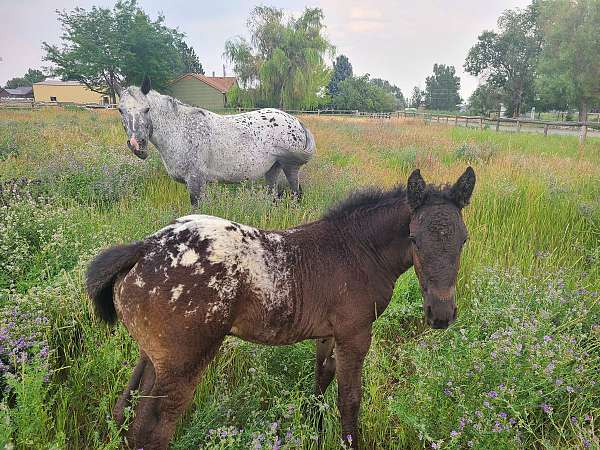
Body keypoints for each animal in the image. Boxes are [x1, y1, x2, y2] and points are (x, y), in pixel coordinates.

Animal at [88, 167, 474, 448]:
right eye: (414, 239)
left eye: (464, 240)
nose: (441, 314)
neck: (357, 249)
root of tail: (143, 248)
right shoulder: (355, 333)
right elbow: (349, 400)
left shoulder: (328, 334)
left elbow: (321, 383)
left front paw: (315, 432)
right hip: (184, 363)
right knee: (153, 431)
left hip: (152, 355)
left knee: (124, 413)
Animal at [115, 76, 316, 205]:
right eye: (120, 110)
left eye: (147, 109)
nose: (137, 145)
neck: (180, 130)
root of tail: (295, 121)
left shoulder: (195, 182)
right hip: (272, 169)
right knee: (273, 195)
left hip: (290, 168)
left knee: (297, 193)